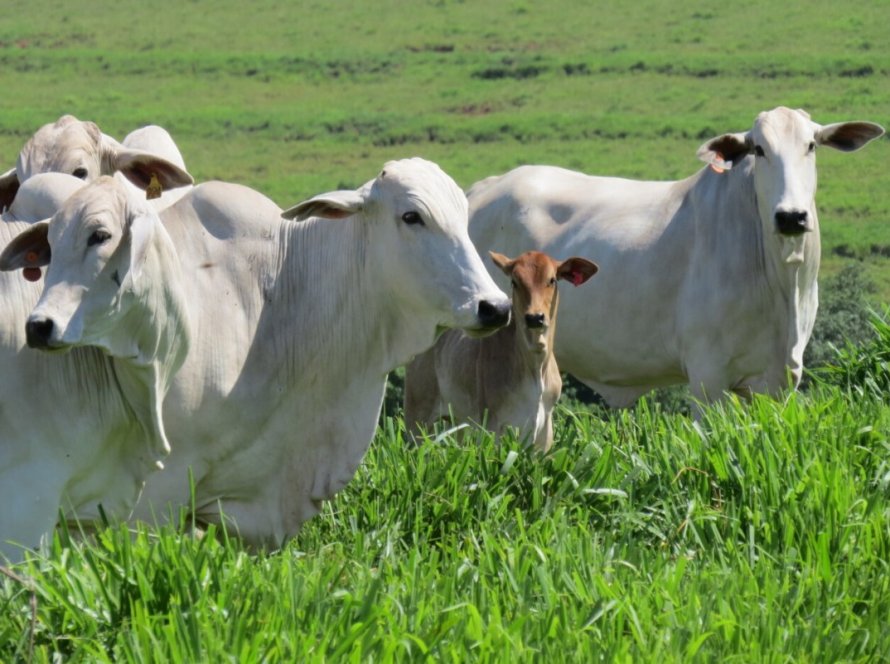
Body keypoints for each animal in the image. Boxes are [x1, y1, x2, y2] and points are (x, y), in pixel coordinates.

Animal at [404, 249, 596, 452]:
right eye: (514, 281)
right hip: (417, 417)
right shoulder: (493, 426)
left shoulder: (544, 433)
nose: (534, 317)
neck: (535, 368)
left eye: (552, 280)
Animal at [464, 108, 880, 408]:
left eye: (811, 145)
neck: (782, 280)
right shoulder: (708, 376)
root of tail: (480, 190)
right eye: (759, 149)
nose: (791, 216)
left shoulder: (780, 379)